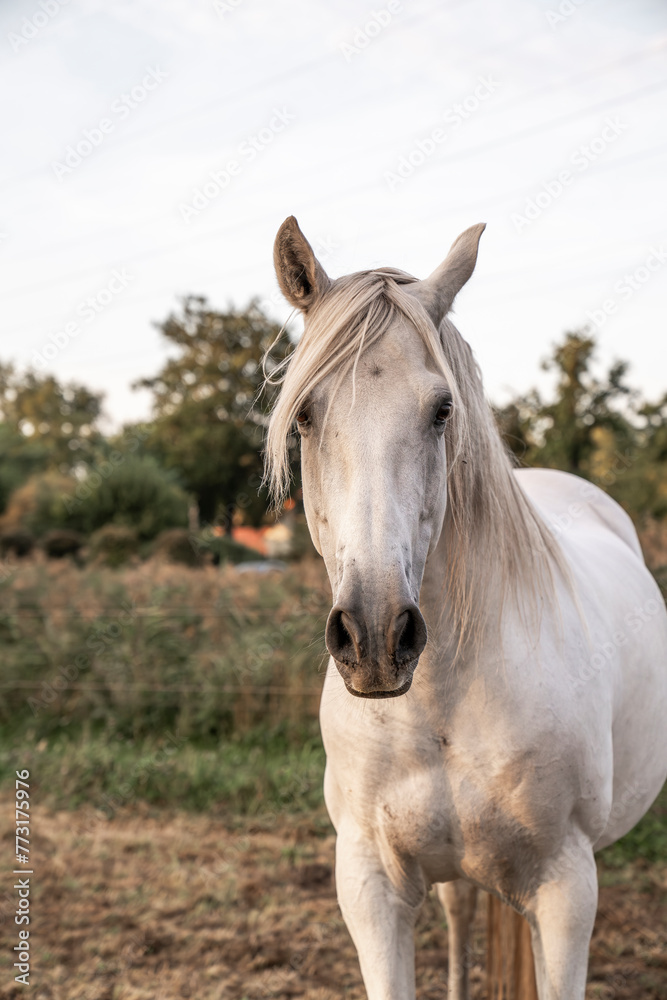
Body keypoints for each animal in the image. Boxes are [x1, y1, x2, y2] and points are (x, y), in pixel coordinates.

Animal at [264, 219, 667, 1000]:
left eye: (441, 410)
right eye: (304, 414)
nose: (376, 636)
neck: (441, 703)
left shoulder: (566, 890)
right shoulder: (369, 887)